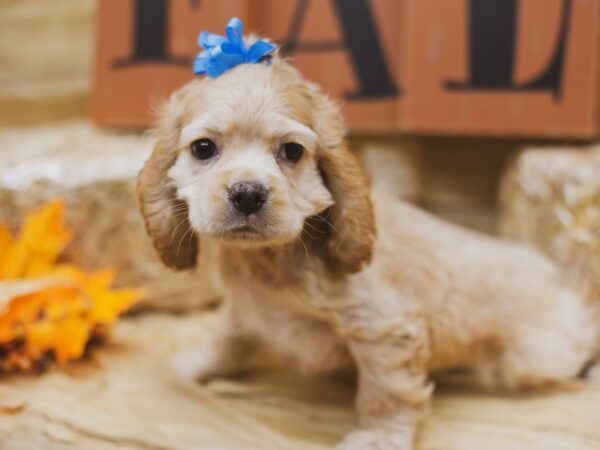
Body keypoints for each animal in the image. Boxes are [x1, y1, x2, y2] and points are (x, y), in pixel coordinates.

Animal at [138, 18, 596, 450]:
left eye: (291, 151)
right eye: (203, 148)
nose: (248, 193)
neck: (272, 259)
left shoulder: (384, 328)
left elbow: (387, 393)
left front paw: (380, 437)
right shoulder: (246, 307)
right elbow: (231, 335)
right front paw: (199, 362)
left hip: (533, 357)